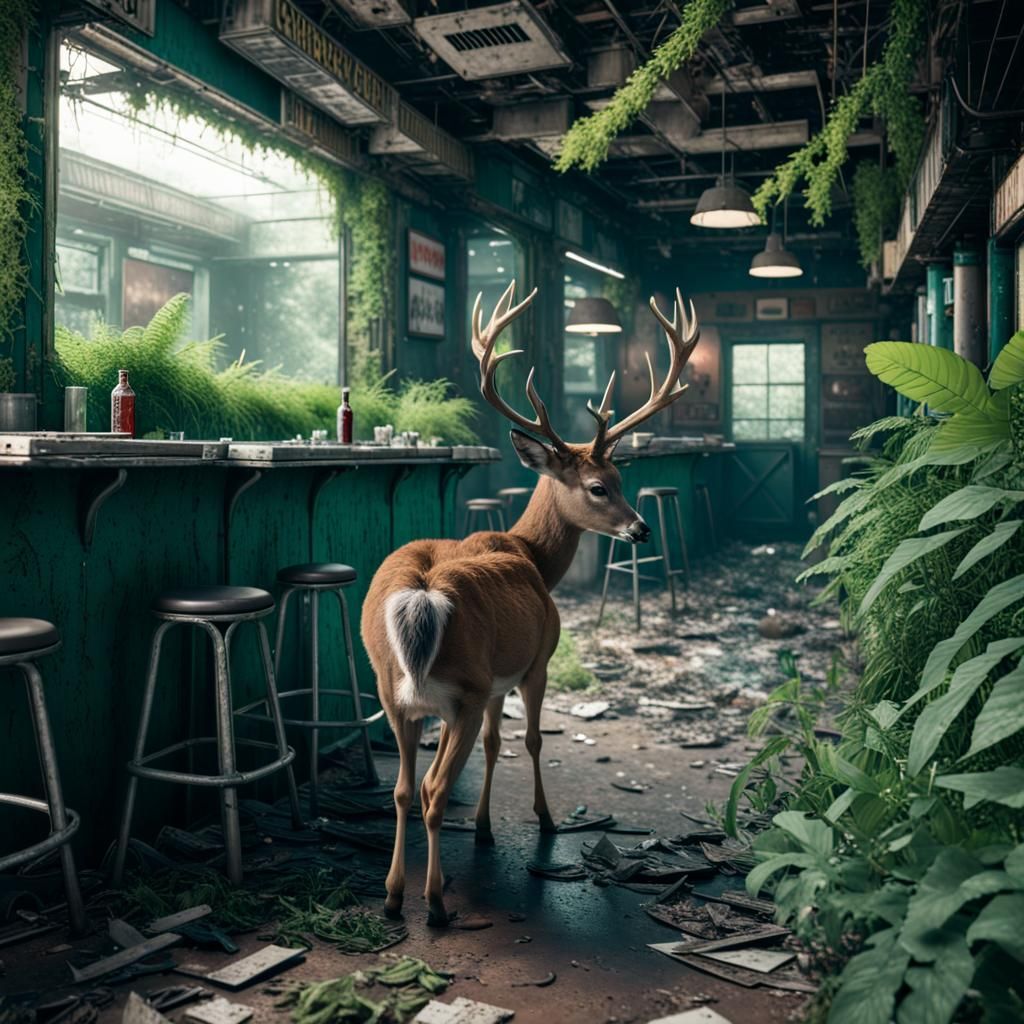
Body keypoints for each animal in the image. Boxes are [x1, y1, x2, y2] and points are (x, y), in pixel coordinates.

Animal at [361, 280, 699, 926]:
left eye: (624, 477)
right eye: (598, 487)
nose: (641, 529)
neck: (533, 556)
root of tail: (420, 597)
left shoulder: (493, 683)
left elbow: (497, 745)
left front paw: (486, 827)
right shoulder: (534, 663)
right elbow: (535, 740)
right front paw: (542, 819)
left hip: (395, 693)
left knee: (402, 788)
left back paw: (392, 896)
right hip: (460, 692)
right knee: (433, 790)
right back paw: (434, 903)